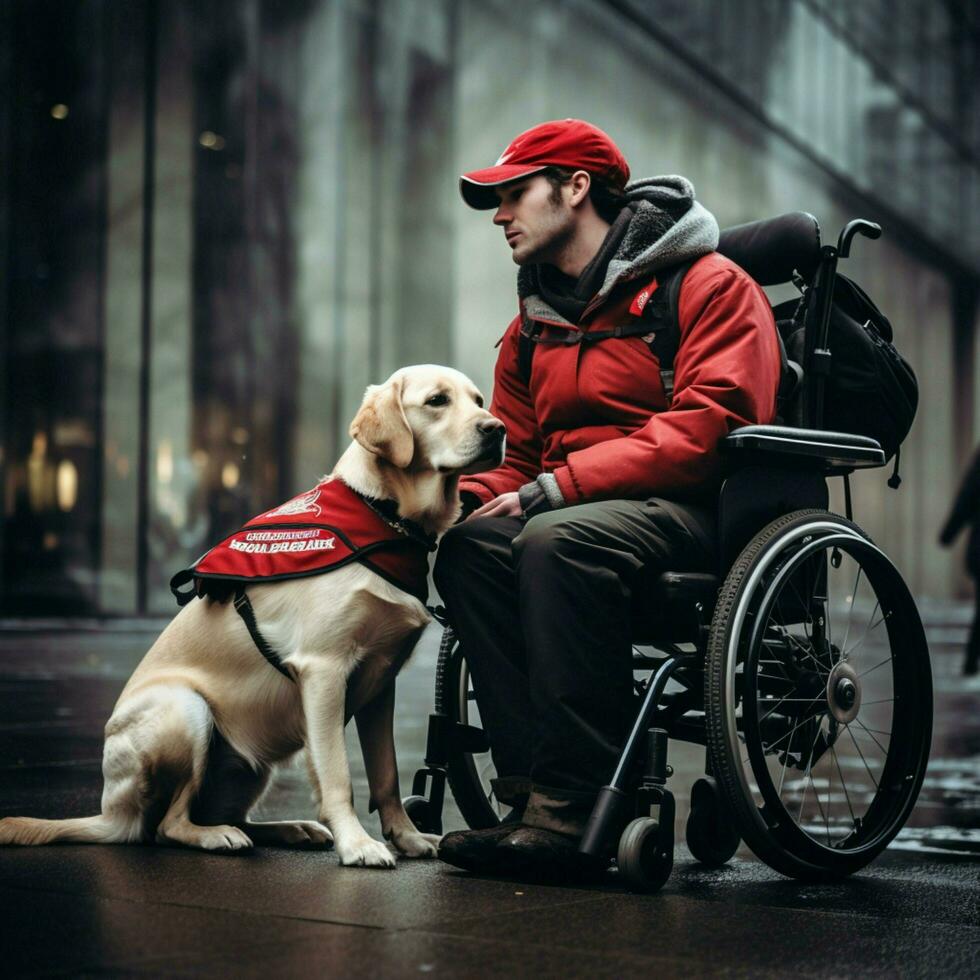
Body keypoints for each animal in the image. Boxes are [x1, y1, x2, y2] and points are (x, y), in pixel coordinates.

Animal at [0, 366, 506, 864]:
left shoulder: (381, 683)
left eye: (479, 401)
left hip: (249, 764)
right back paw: (218, 837)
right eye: (437, 401)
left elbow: (386, 775)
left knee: (222, 815)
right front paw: (358, 844)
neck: (383, 513)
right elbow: (338, 774)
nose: (496, 428)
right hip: (186, 710)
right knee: (168, 826)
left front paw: (408, 837)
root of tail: (111, 816)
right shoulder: (323, 671)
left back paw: (292, 828)